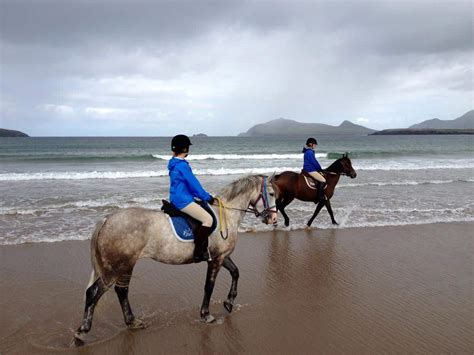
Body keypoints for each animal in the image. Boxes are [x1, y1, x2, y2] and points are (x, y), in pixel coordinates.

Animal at [73, 174, 278, 346]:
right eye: (271, 194)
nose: (274, 219)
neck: (225, 215)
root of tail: (107, 219)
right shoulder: (216, 259)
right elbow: (209, 286)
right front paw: (206, 315)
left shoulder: (221, 256)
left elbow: (236, 272)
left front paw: (229, 302)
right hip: (115, 267)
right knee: (94, 292)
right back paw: (81, 333)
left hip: (127, 265)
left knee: (121, 291)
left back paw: (132, 322)